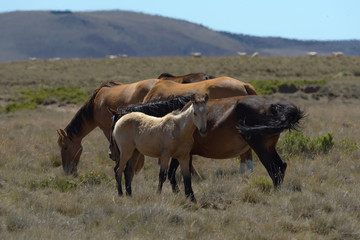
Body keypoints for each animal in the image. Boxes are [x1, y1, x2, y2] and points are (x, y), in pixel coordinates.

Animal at [109, 94, 304, 202]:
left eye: (113, 125)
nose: (112, 153)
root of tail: (271, 106)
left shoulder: (181, 154)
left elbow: (173, 175)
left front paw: (183, 194)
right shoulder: (181, 155)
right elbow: (175, 175)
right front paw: (184, 195)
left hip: (260, 148)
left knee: (274, 170)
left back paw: (275, 193)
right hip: (269, 147)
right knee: (281, 166)